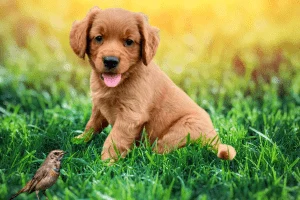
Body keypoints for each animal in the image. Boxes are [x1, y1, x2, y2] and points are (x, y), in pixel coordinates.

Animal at [69, 7, 237, 161]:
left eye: (129, 42)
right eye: (98, 38)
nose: (110, 61)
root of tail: (215, 138)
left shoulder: (130, 115)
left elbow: (114, 139)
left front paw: (105, 164)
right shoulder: (99, 106)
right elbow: (92, 124)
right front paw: (80, 140)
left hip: (182, 129)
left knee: (163, 151)